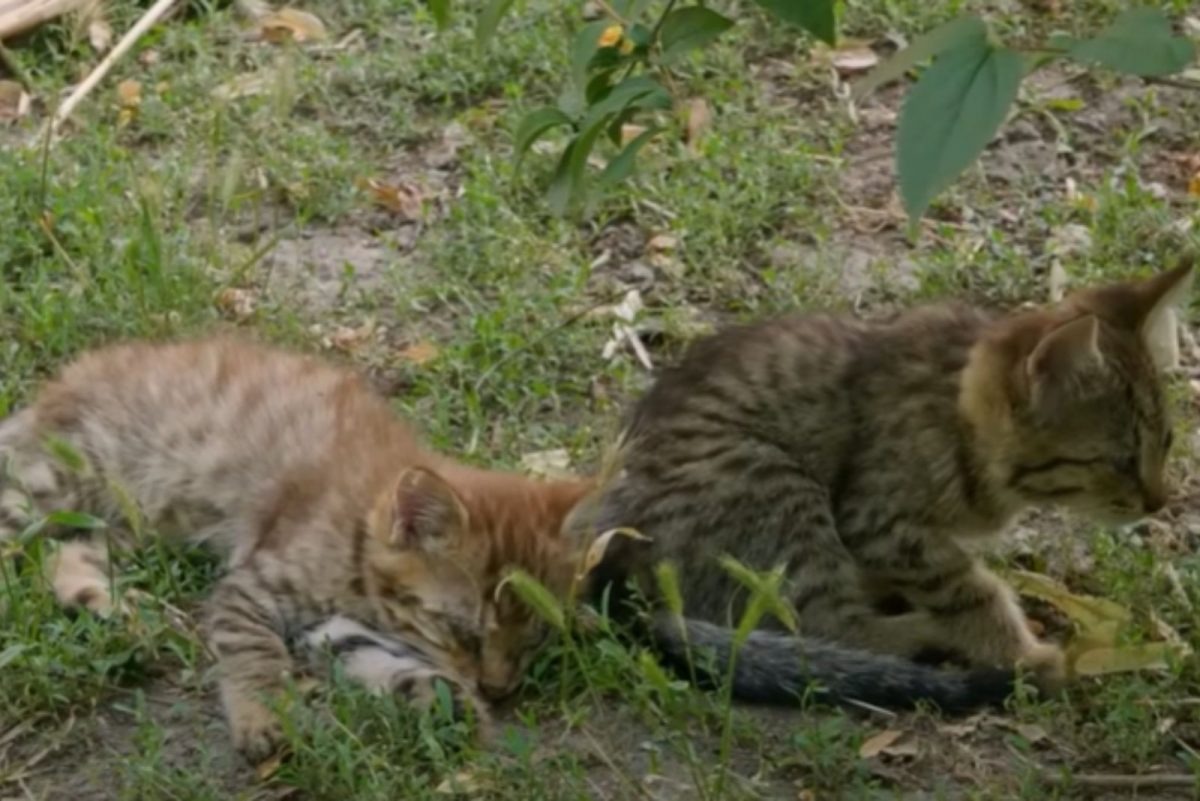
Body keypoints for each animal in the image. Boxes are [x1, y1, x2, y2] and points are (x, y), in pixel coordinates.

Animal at [0, 338, 595, 762]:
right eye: (461, 631)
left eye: (534, 637)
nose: (498, 689)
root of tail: (50, 394)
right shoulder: (250, 587)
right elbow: (254, 654)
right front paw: (263, 717)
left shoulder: (333, 624)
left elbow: (385, 660)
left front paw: (445, 701)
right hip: (55, 485)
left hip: (125, 520)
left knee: (65, 556)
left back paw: (120, 612)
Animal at [583, 260, 1190, 709]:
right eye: (1119, 460)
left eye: (1167, 442)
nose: (1158, 501)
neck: (957, 421)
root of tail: (603, 550)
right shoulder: (879, 524)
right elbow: (973, 590)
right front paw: (1019, 651)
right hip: (777, 484)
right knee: (827, 628)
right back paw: (924, 637)